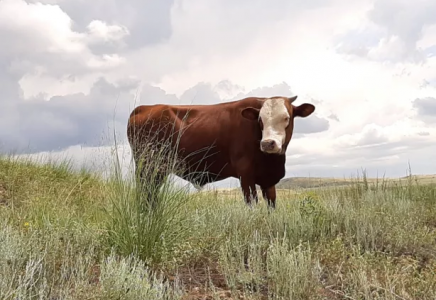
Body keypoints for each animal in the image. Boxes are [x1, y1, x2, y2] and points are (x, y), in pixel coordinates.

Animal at [126, 95, 314, 207]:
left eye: (287, 118)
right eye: (260, 120)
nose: (268, 143)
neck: (272, 163)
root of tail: (145, 108)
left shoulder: (268, 180)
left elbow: (271, 205)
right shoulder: (245, 175)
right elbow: (252, 204)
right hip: (148, 168)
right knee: (145, 194)